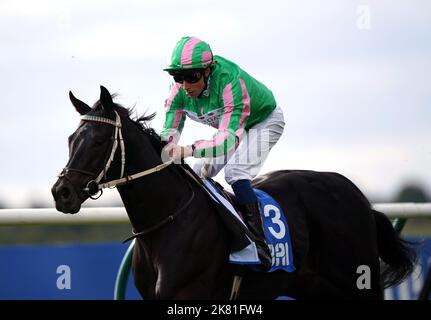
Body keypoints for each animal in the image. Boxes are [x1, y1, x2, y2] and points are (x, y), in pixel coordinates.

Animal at [52, 85, 416, 300]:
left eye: (99, 141)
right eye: (70, 139)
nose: (61, 192)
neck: (167, 223)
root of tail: (360, 199)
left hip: (359, 282)